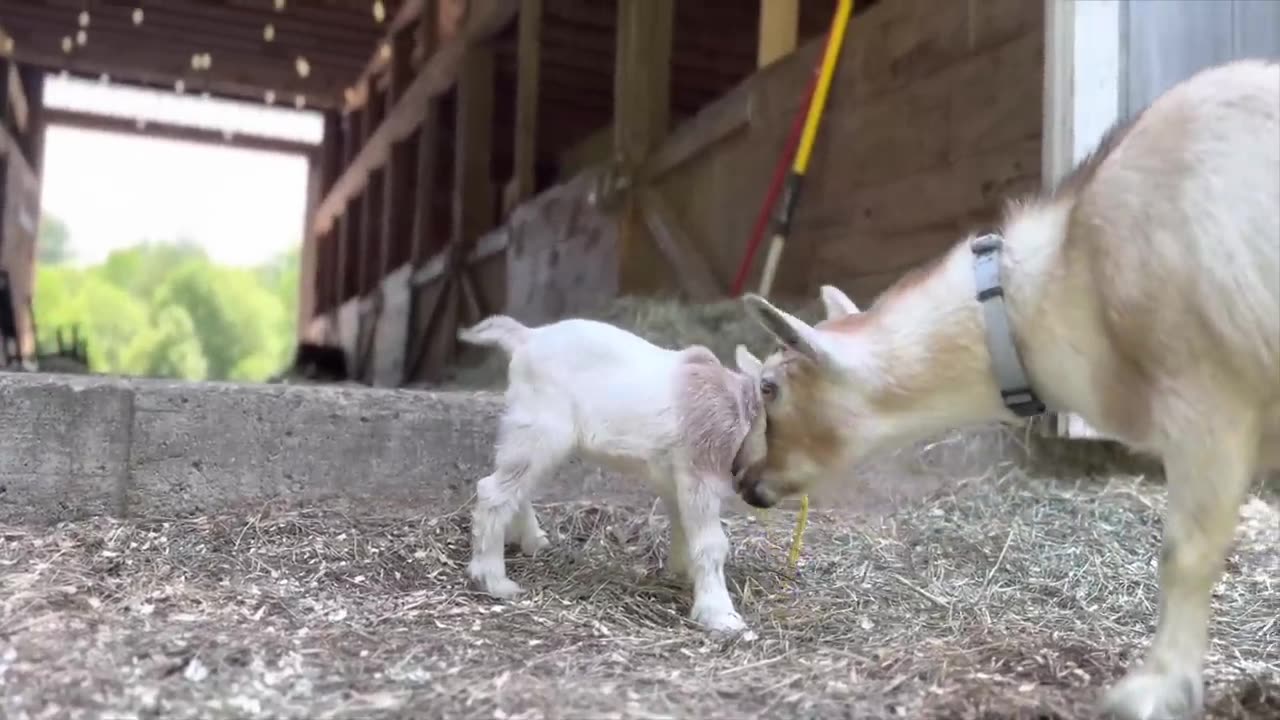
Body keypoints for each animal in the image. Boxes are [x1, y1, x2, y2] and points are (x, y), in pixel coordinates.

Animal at [455, 311, 762, 630]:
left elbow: (683, 529)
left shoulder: (676, 480)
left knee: (514, 485)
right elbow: (710, 544)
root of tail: (527, 337)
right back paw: (492, 579)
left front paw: (680, 574)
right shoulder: (699, 476)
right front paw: (721, 616)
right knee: (493, 491)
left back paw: (531, 540)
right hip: (541, 430)